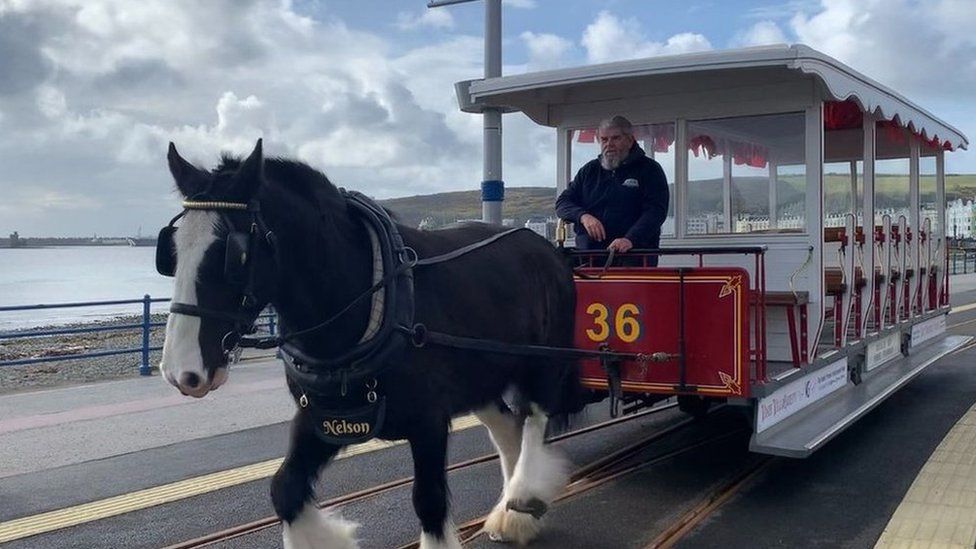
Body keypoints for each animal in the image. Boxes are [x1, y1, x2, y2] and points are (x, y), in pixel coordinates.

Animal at [158, 139, 588, 544]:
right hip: (482, 378)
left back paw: (522, 502)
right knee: (506, 429)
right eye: (170, 252)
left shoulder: (428, 422)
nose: (181, 372)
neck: (369, 298)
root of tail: (543, 245)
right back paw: (513, 511)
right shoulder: (320, 419)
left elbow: (429, 502)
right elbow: (285, 489)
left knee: (533, 420)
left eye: (234, 255)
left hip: (542, 365)